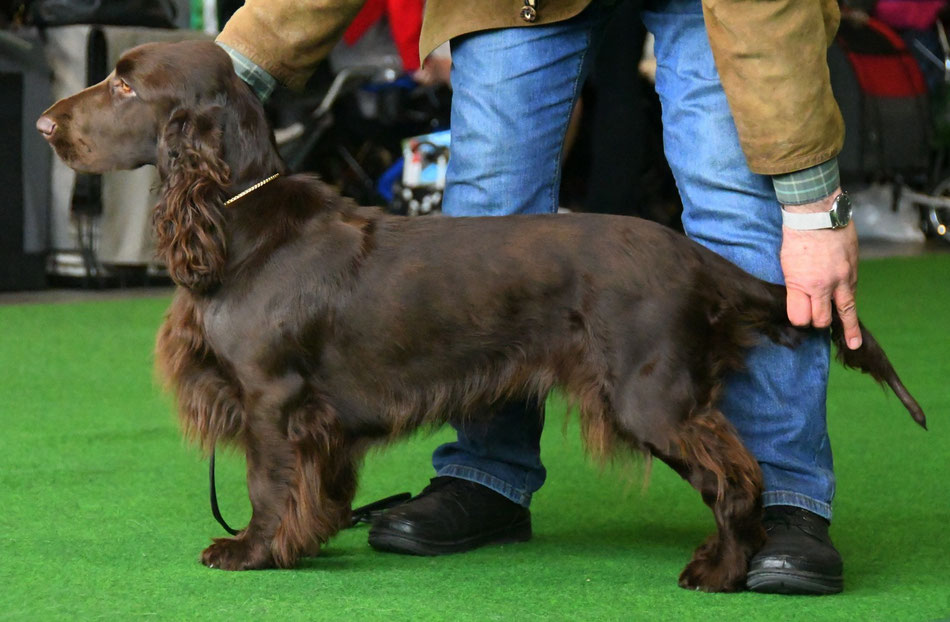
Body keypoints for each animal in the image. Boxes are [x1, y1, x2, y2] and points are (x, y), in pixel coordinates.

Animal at [41, 40, 924, 596]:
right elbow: (316, 489)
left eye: (125, 86)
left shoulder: (272, 397)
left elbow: (267, 483)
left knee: (740, 476)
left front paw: (252, 552)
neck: (236, 220)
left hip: (650, 394)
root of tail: (694, 256)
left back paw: (722, 571)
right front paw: (310, 538)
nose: (46, 124)